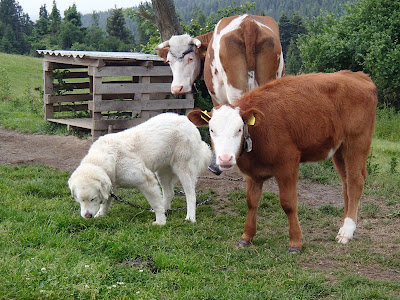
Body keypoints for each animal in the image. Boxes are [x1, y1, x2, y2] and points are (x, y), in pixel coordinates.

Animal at [68, 113, 212, 225]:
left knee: (191, 195)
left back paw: (190, 217)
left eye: (92, 199)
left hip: (183, 169)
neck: (110, 159)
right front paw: (100, 215)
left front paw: (160, 222)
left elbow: (155, 203)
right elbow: (106, 202)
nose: (87, 216)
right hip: (162, 172)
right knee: (169, 193)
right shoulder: (111, 185)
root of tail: (189, 122)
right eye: (80, 200)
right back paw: (166, 209)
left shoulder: (146, 180)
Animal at [187, 70, 376, 251]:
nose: (225, 158)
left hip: (356, 143)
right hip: (339, 150)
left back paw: (347, 231)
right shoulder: (253, 173)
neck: (259, 131)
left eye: (239, 129)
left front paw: (295, 242)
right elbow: (251, 202)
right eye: (211, 130)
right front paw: (246, 236)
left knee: (355, 183)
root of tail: (357, 76)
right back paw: (345, 226)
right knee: (346, 185)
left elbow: (288, 203)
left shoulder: (288, 163)